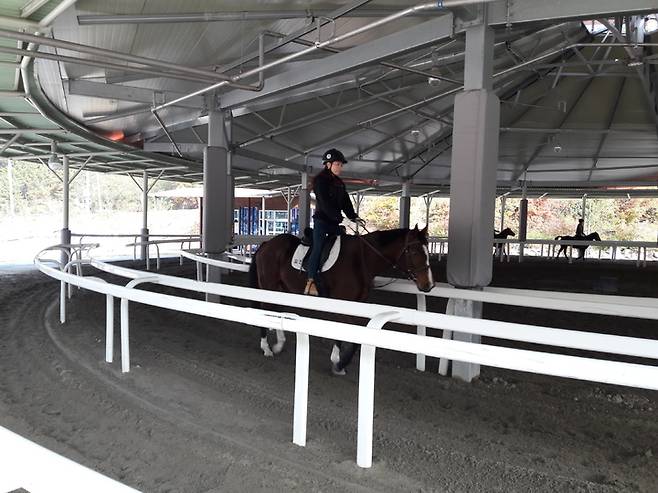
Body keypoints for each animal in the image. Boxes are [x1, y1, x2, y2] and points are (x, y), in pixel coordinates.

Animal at [249, 226, 434, 372]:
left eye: (427, 252)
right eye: (414, 251)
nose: (429, 284)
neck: (361, 259)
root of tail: (266, 244)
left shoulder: (351, 305)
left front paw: (337, 359)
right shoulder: (342, 304)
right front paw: (340, 363)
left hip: (282, 289)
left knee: (276, 310)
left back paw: (279, 344)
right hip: (269, 287)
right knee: (263, 310)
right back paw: (266, 348)